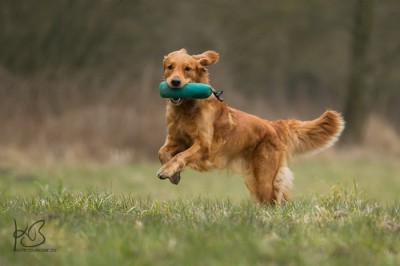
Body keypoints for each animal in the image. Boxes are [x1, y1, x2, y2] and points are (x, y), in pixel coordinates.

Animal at [158, 48, 346, 205]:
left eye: (187, 69)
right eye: (170, 67)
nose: (175, 82)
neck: (187, 108)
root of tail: (272, 125)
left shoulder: (204, 145)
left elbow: (180, 156)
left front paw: (168, 171)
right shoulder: (175, 139)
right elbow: (162, 152)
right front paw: (173, 174)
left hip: (264, 177)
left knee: (275, 200)